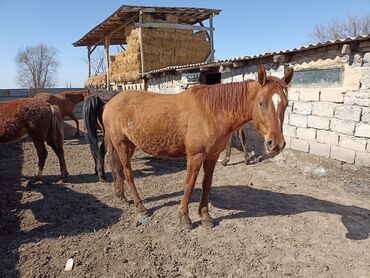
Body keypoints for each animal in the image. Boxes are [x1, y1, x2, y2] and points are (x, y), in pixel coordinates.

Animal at [102, 66, 294, 229]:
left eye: (285, 104)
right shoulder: (195, 156)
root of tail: (110, 103)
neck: (211, 112)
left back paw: (121, 196)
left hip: (130, 145)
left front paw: (205, 217)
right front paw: (185, 218)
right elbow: (189, 184)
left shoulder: (213, 156)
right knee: (128, 173)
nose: (276, 144)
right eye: (262, 103)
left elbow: (206, 184)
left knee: (117, 167)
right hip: (122, 145)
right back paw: (140, 206)